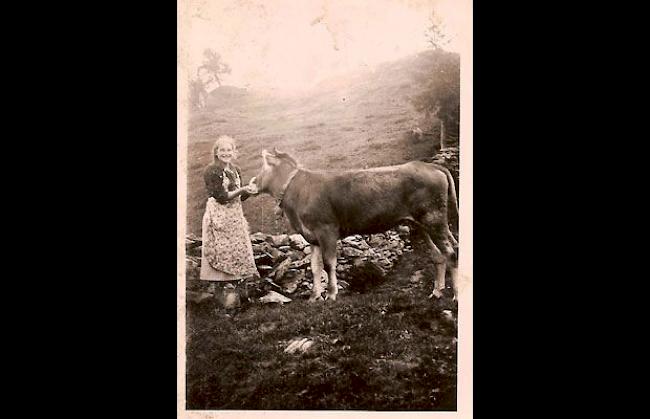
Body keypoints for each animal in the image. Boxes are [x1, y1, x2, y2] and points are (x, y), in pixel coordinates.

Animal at [248, 149, 456, 304]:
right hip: (422, 224)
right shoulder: (311, 236)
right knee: (438, 255)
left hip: (434, 219)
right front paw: (314, 296)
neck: (297, 191)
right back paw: (437, 292)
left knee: (451, 253)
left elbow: (329, 264)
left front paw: (331, 293)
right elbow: (315, 267)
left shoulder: (327, 230)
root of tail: (428, 165)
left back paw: (455, 296)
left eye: (263, 167)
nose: (252, 182)